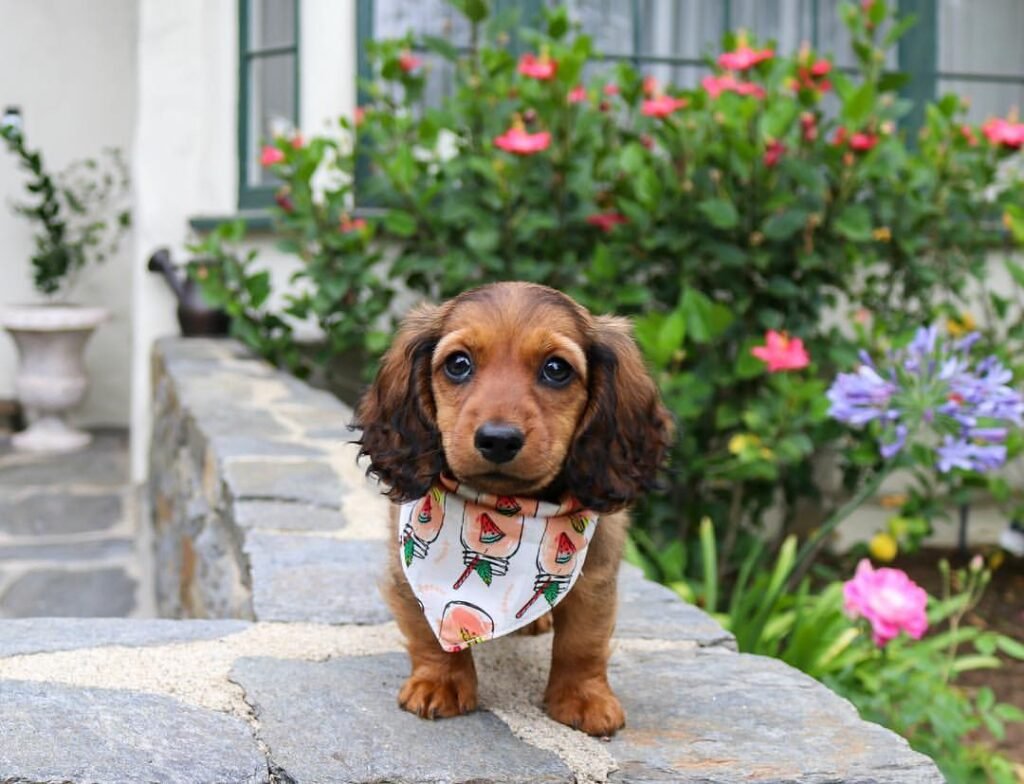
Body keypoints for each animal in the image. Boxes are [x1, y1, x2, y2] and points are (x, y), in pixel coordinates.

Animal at [356, 286, 675, 741]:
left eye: (556, 369)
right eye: (458, 364)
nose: (498, 440)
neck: (506, 508)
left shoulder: (597, 569)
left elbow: (584, 640)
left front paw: (584, 698)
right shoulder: (409, 567)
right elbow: (428, 629)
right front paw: (440, 682)